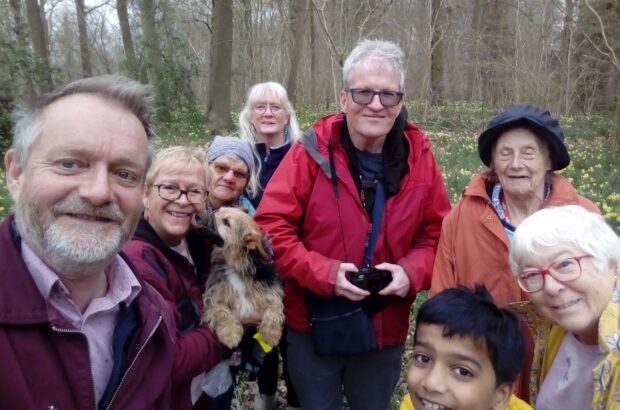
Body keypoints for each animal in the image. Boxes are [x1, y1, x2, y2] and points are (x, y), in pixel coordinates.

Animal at [201, 207, 284, 348]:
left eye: (226, 222)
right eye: (218, 210)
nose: (197, 215)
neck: (236, 266)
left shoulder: (270, 289)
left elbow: (274, 308)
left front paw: (271, 334)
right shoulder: (214, 294)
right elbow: (221, 311)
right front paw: (230, 335)